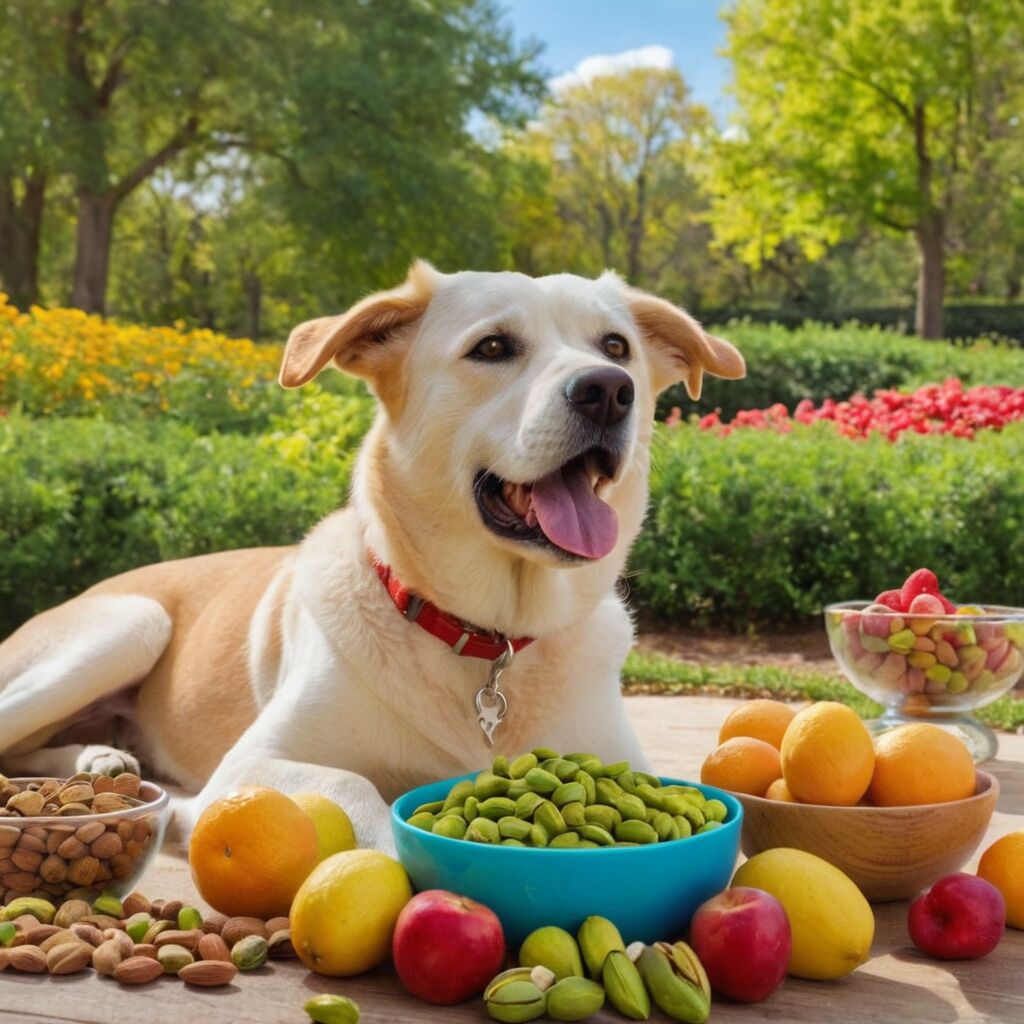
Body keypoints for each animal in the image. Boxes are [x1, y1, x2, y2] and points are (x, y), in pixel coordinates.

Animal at [0, 262, 745, 847]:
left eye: (616, 346)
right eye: (493, 346)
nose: (609, 390)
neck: (489, 638)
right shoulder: (251, 765)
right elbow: (355, 785)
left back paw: (101, 758)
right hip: (130, 625)